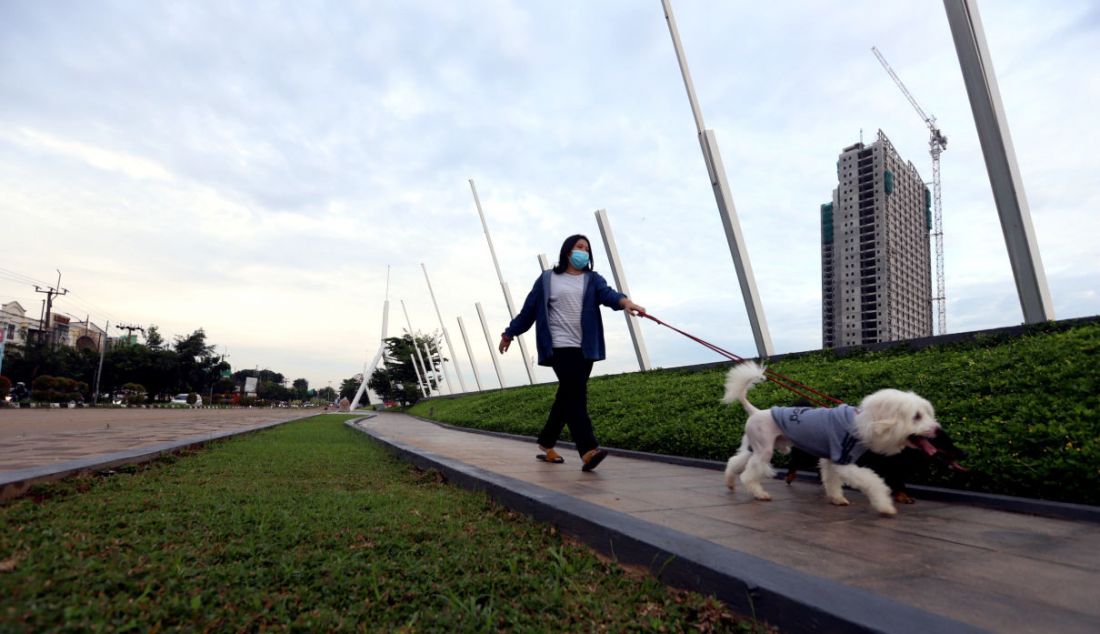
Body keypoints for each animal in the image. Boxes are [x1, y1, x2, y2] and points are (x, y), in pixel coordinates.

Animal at [717, 361, 941, 515]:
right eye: (916, 416)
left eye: (927, 414)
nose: (938, 429)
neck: (862, 423)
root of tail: (754, 411)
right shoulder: (843, 458)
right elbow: (871, 481)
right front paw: (885, 505)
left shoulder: (830, 459)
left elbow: (832, 480)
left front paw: (836, 499)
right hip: (764, 449)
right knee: (749, 474)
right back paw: (759, 493)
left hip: (754, 447)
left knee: (735, 462)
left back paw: (729, 482)